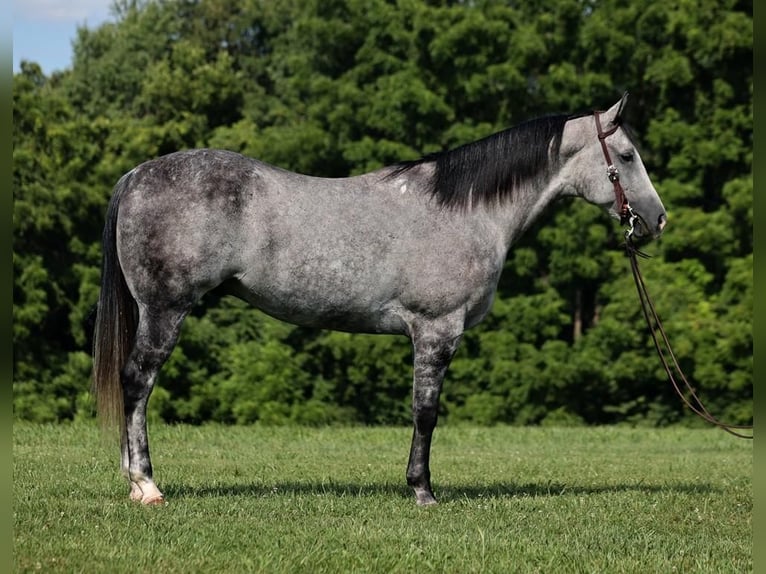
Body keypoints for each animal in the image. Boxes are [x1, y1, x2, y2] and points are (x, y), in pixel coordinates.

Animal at [91, 94, 664, 508]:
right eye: (628, 156)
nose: (657, 220)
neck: (466, 211)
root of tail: (136, 175)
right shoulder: (436, 331)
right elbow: (425, 412)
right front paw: (422, 491)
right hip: (165, 312)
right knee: (137, 383)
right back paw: (146, 486)